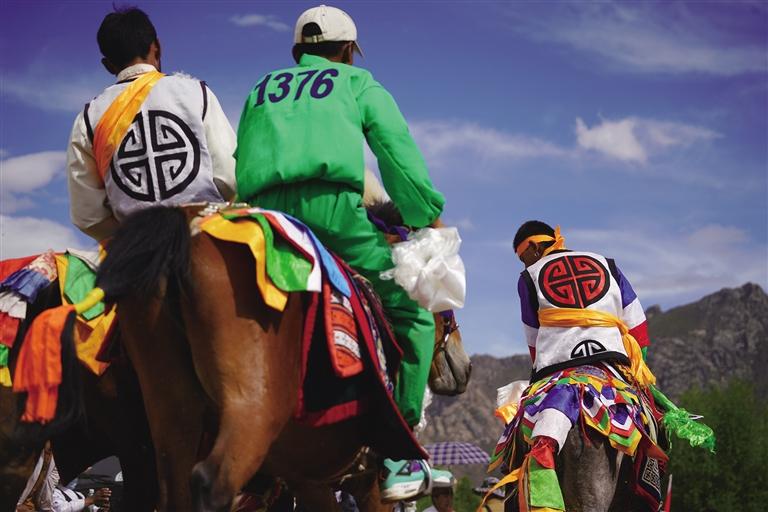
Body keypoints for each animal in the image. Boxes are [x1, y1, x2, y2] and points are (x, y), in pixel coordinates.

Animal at [96, 203, 471, 511]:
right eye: (444, 297)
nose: (464, 367)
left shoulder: (306, 477)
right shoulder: (362, 482)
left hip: (169, 410)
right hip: (251, 408)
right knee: (211, 484)